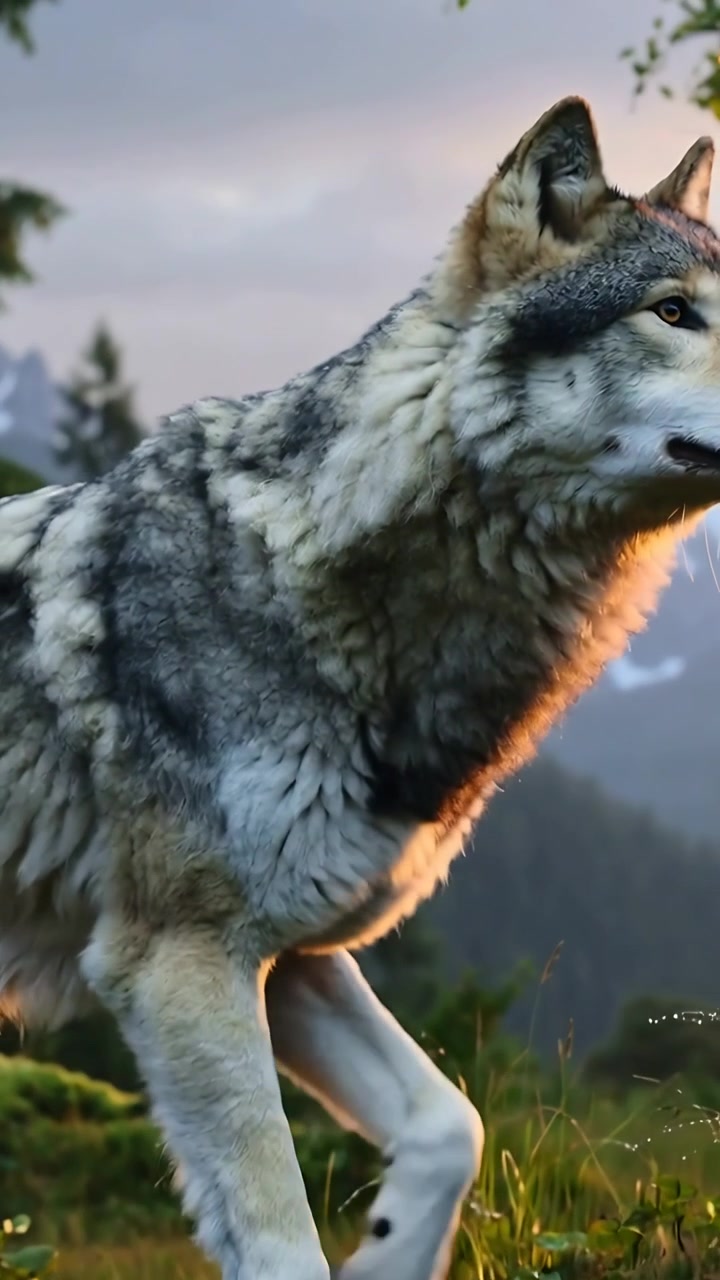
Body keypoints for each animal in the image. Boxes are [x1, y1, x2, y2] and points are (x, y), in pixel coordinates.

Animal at [2, 94, 720, 1279]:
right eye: (675, 313)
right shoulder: (180, 961)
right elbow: (283, 1239)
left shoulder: (293, 950)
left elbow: (450, 1126)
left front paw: (386, 1254)